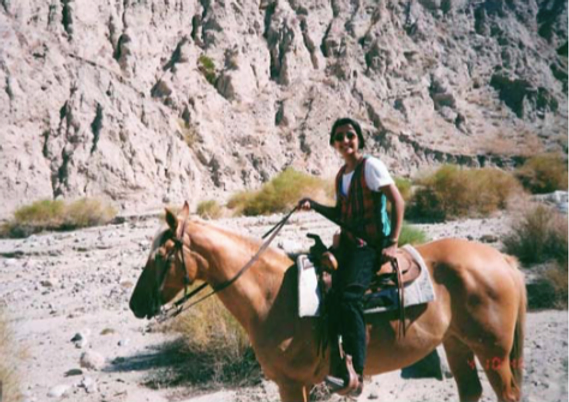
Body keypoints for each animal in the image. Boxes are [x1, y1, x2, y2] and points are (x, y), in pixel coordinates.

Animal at [127, 204, 524, 402]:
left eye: (160, 255)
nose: (134, 304)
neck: (271, 295)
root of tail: (504, 260)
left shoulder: (290, 383)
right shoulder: (299, 383)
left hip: (493, 351)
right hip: (457, 344)